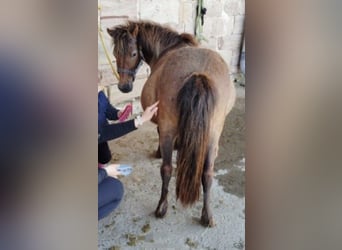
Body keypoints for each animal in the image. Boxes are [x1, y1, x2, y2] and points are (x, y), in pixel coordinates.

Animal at [107, 21, 235, 227]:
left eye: (133, 53)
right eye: (115, 53)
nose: (124, 87)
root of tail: (198, 74)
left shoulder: (163, 126)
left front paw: (160, 151)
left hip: (171, 131)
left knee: (167, 169)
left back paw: (161, 207)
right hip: (213, 135)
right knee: (207, 174)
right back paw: (207, 215)